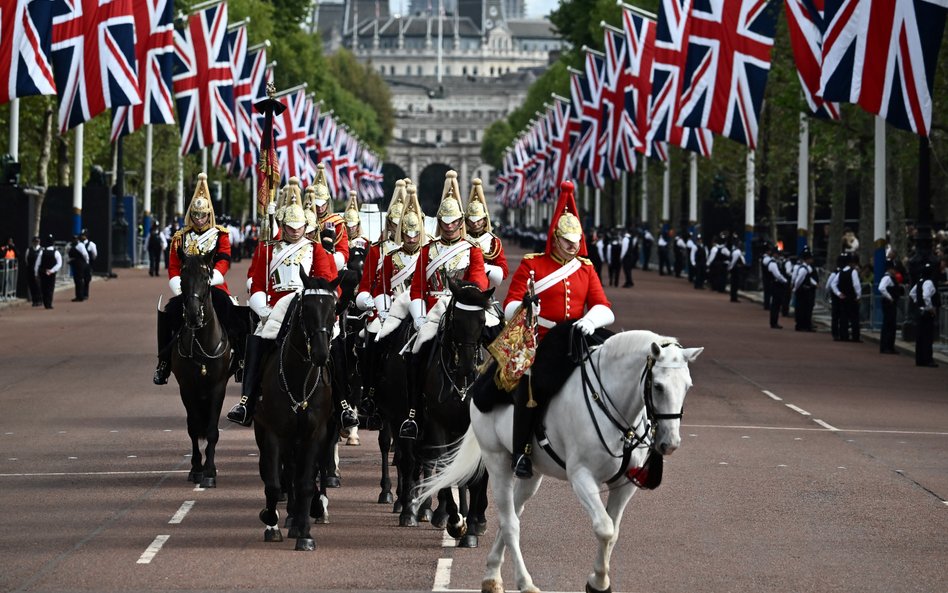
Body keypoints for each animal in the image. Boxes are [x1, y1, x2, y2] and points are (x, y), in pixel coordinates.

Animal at [169, 252, 232, 488]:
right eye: (182, 278)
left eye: (206, 277)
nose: (193, 315)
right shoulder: (186, 387)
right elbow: (194, 426)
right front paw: (197, 469)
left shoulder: (218, 387)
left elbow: (212, 430)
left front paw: (209, 471)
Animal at [254, 272, 338, 552]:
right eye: (306, 308)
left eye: (333, 309)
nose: (321, 354)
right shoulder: (273, 432)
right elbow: (273, 484)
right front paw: (271, 521)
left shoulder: (315, 433)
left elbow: (305, 483)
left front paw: (305, 533)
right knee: (283, 471)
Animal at [418, 328, 700, 592]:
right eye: (658, 386)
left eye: (688, 386)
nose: (669, 443)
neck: (614, 406)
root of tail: (483, 380)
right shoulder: (581, 477)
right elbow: (604, 528)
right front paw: (598, 582)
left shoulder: (626, 484)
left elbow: (613, 531)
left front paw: (599, 581)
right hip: (497, 462)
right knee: (510, 523)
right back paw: (524, 582)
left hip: (531, 475)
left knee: (513, 515)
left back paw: (492, 576)